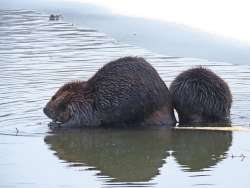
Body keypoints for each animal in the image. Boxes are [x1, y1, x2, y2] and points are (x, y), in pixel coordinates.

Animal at [43, 56, 176, 129]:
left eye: (53, 97)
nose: (44, 110)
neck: (87, 94)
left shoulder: (84, 107)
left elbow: (83, 121)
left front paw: (54, 125)